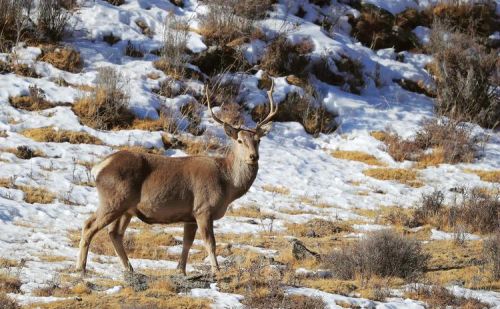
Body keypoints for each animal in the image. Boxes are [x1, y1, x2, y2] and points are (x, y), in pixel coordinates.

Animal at [77, 79, 278, 274]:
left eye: (258, 140)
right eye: (240, 140)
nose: (253, 156)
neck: (227, 184)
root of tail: (98, 168)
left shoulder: (190, 215)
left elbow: (187, 243)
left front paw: (181, 270)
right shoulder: (203, 208)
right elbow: (210, 243)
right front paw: (217, 271)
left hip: (127, 208)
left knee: (114, 233)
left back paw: (130, 269)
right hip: (114, 199)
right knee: (89, 225)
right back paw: (81, 268)